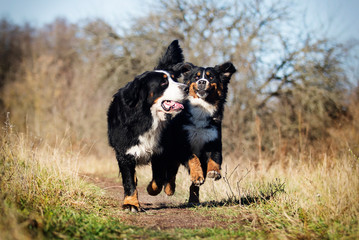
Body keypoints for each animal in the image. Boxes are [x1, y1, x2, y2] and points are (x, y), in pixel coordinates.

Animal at [108, 40, 188, 213]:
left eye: (174, 78)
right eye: (164, 82)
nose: (186, 87)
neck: (148, 118)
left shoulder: (161, 150)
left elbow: (158, 178)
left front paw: (151, 189)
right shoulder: (124, 151)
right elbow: (129, 181)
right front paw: (131, 204)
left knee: (171, 170)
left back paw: (169, 188)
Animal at [148, 61, 238, 202]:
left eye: (211, 77)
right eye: (196, 77)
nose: (202, 82)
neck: (202, 109)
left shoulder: (213, 141)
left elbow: (215, 158)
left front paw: (214, 172)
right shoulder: (184, 143)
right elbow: (193, 159)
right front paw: (197, 175)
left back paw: (193, 198)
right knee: (168, 174)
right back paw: (166, 189)